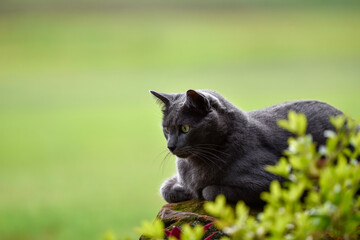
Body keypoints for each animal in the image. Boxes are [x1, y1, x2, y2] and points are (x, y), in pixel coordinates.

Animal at [150, 89, 344, 206]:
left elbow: (209, 191)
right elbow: (165, 189)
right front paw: (181, 190)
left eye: (185, 128)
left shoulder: (274, 179)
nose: (171, 146)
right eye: (166, 129)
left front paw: (198, 191)